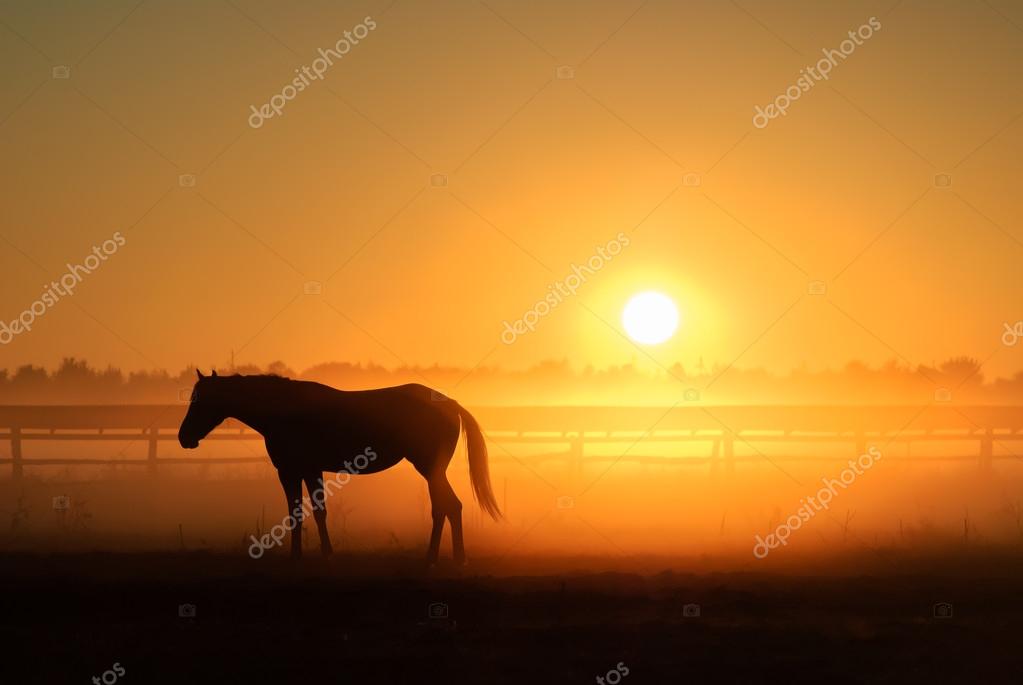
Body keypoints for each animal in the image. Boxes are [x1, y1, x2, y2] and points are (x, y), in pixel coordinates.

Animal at [177, 370, 501, 563]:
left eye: (200, 400)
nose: (184, 437)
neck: (284, 411)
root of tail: (450, 404)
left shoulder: (292, 471)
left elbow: (302, 512)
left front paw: (305, 556)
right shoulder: (308, 471)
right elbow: (313, 512)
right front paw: (319, 552)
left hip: (429, 467)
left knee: (449, 506)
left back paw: (444, 557)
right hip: (432, 471)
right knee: (445, 508)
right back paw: (441, 556)